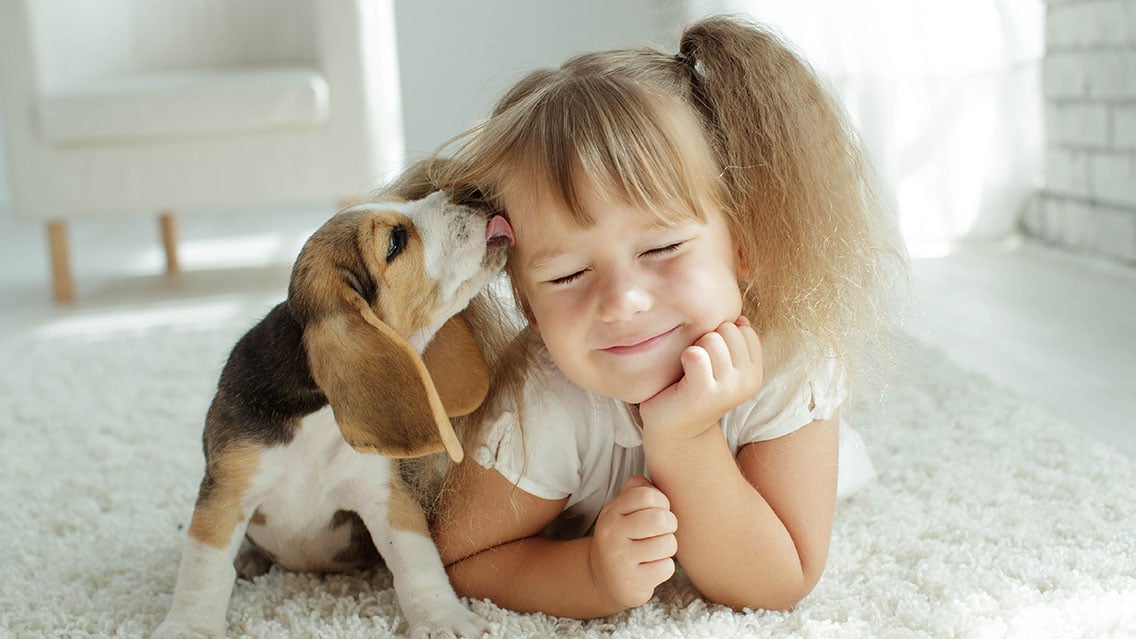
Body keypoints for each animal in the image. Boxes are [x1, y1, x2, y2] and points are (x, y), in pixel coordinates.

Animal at [152, 191, 515, 632]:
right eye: (395, 242)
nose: (473, 193)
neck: (319, 419)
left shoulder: (384, 495)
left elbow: (417, 563)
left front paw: (442, 617)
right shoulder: (227, 492)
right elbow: (204, 570)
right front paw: (190, 626)